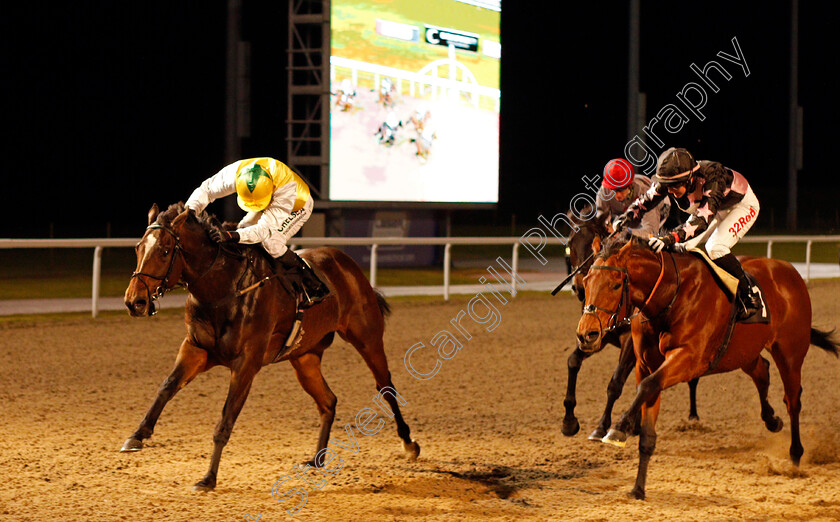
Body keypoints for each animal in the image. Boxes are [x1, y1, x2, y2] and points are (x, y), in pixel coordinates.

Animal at [120, 202, 420, 488]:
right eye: (137, 248)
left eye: (164, 250)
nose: (135, 301)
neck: (224, 289)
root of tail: (347, 263)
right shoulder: (195, 349)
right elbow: (167, 387)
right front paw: (137, 436)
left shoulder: (246, 363)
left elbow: (225, 420)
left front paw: (208, 478)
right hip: (304, 357)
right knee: (328, 401)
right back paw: (317, 459)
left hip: (367, 338)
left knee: (385, 387)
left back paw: (408, 443)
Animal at [564, 211, 704, 438]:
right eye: (570, 244)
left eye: (590, 244)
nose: (578, 287)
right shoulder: (596, 336)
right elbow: (573, 361)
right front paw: (568, 421)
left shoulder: (629, 341)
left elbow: (615, 384)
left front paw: (602, 426)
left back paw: (693, 415)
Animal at [576, 234, 840, 498]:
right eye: (586, 281)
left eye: (615, 285)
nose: (586, 334)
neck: (669, 295)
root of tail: (790, 271)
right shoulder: (645, 365)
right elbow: (647, 409)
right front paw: (638, 488)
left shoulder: (689, 358)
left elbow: (647, 387)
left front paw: (619, 428)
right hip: (744, 351)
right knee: (762, 371)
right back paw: (772, 420)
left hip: (790, 352)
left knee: (792, 400)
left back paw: (795, 455)